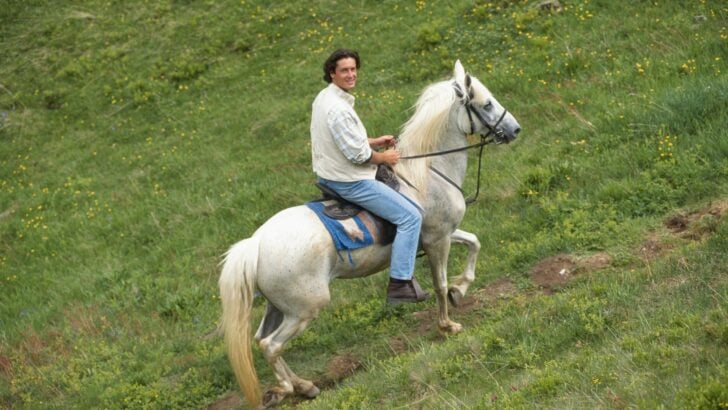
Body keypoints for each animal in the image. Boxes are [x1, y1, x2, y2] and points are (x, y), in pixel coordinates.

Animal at [219, 60, 521, 408]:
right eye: (486, 104)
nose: (515, 129)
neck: (429, 173)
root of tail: (254, 245)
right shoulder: (437, 240)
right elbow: (440, 283)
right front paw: (448, 323)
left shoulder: (444, 232)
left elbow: (474, 243)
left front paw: (461, 289)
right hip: (305, 308)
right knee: (271, 345)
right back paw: (296, 387)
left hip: (278, 306)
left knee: (262, 341)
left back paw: (300, 385)